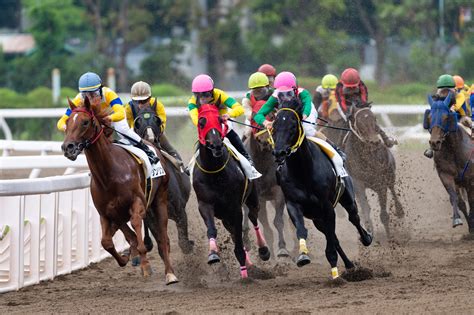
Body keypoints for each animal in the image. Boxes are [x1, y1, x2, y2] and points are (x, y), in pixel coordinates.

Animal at [59, 97, 178, 286]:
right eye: (67, 122)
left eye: (85, 122)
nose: (68, 147)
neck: (109, 174)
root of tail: (152, 144)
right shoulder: (107, 213)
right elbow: (107, 242)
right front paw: (125, 258)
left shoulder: (137, 203)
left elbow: (137, 228)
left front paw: (145, 265)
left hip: (160, 199)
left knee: (163, 238)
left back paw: (170, 273)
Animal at [131, 103, 194, 254]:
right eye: (137, 122)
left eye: (157, 120)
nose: (150, 139)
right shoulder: (152, 219)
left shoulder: (180, 211)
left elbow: (184, 244)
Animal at [272, 100, 372, 280]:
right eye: (275, 125)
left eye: (293, 125)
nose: (279, 152)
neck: (303, 171)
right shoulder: (293, 204)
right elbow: (302, 230)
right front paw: (303, 255)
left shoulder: (326, 207)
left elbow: (332, 241)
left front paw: (335, 275)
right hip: (317, 218)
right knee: (333, 236)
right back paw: (349, 265)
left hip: (347, 198)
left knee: (354, 217)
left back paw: (366, 238)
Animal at [318, 105, 404, 238]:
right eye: (359, 123)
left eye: (375, 118)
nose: (375, 141)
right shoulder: (358, 184)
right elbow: (365, 209)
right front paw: (369, 229)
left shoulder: (381, 184)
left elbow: (384, 214)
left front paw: (390, 237)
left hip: (390, 175)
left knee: (392, 189)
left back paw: (400, 210)